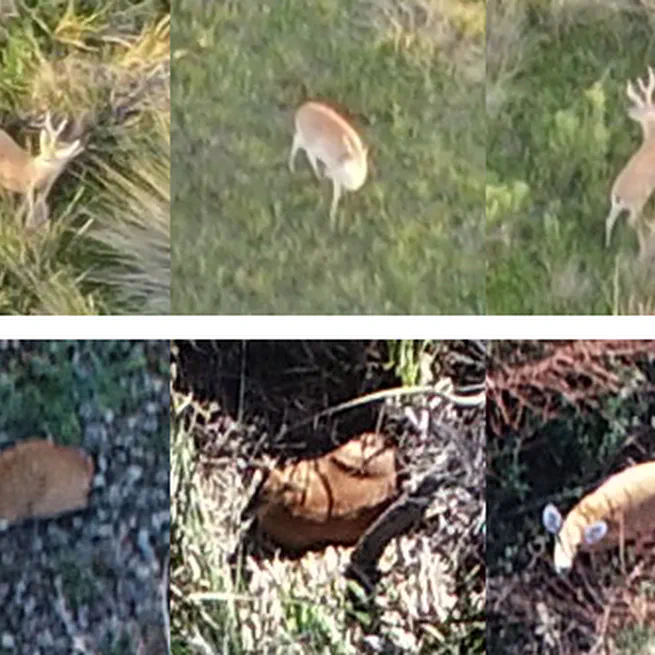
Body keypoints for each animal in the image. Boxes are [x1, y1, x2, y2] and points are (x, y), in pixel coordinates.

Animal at [606, 66, 655, 254]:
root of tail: (618, 195)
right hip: (637, 202)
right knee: (631, 223)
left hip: (616, 206)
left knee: (609, 221)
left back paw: (607, 246)